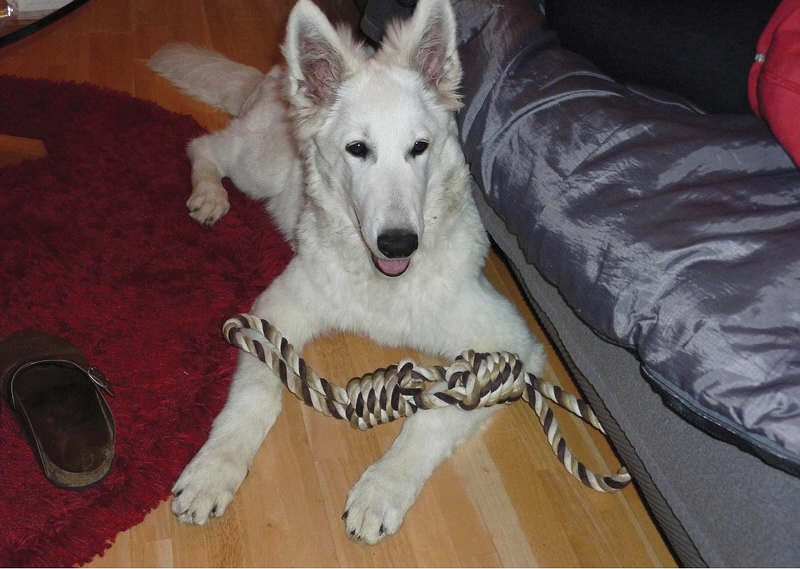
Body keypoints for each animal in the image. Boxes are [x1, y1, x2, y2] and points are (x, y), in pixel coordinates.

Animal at [149, 0, 544, 545]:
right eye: (358, 149)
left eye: (420, 147)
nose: (399, 242)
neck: (384, 284)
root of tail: (277, 75)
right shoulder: (276, 309)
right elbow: (256, 394)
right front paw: (214, 470)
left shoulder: (511, 347)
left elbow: (433, 419)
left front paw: (381, 490)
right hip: (259, 169)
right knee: (204, 147)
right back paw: (209, 195)